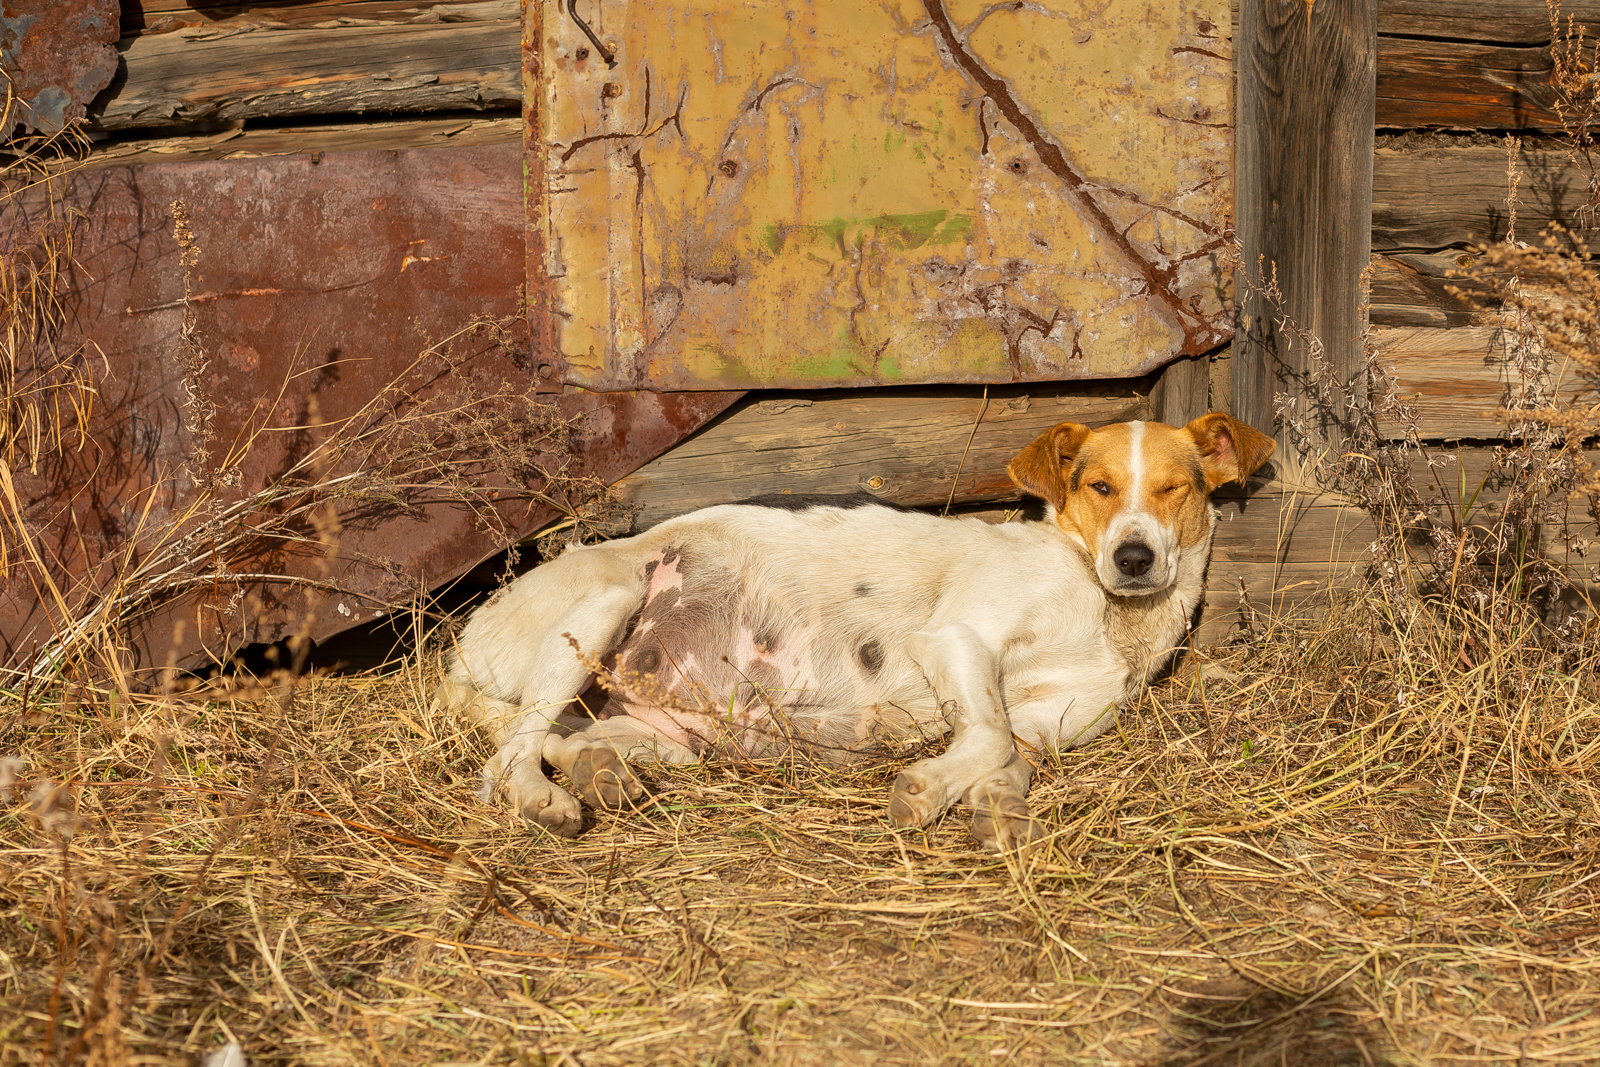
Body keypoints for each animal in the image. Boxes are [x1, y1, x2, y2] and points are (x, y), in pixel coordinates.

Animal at [435, 415, 1273, 851]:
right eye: (1098, 486)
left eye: (1176, 488)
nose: (1135, 557)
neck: (1107, 612)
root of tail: (465, 647)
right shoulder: (956, 637)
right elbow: (986, 734)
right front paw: (926, 789)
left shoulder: (1047, 722)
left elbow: (1008, 756)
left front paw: (994, 807)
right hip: (609, 601)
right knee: (507, 755)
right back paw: (546, 801)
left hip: (665, 732)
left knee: (564, 743)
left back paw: (600, 776)